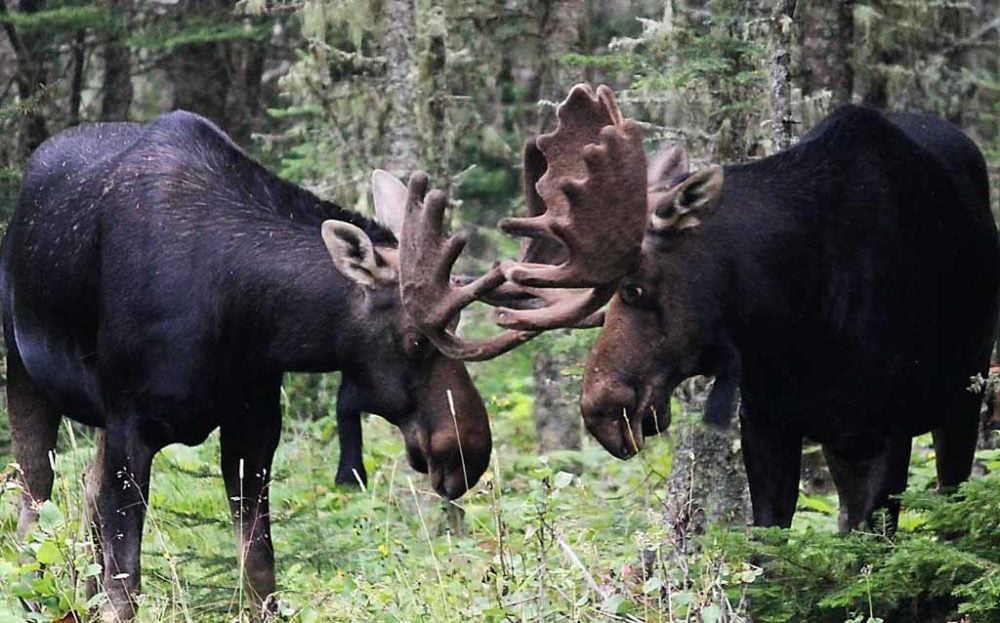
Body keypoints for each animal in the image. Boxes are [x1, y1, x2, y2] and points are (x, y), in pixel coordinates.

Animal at [0, 114, 532, 620]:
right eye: (416, 341)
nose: (468, 453)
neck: (243, 316)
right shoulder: (131, 423)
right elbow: (125, 590)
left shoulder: (254, 424)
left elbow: (259, 575)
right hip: (26, 374)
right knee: (33, 499)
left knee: (88, 493)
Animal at [400, 81, 1000, 532]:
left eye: (635, 289)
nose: (600, 410)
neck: (799, 318)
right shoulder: (767, 422)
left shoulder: (888, 428)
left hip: (963, 397)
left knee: (950, 495)